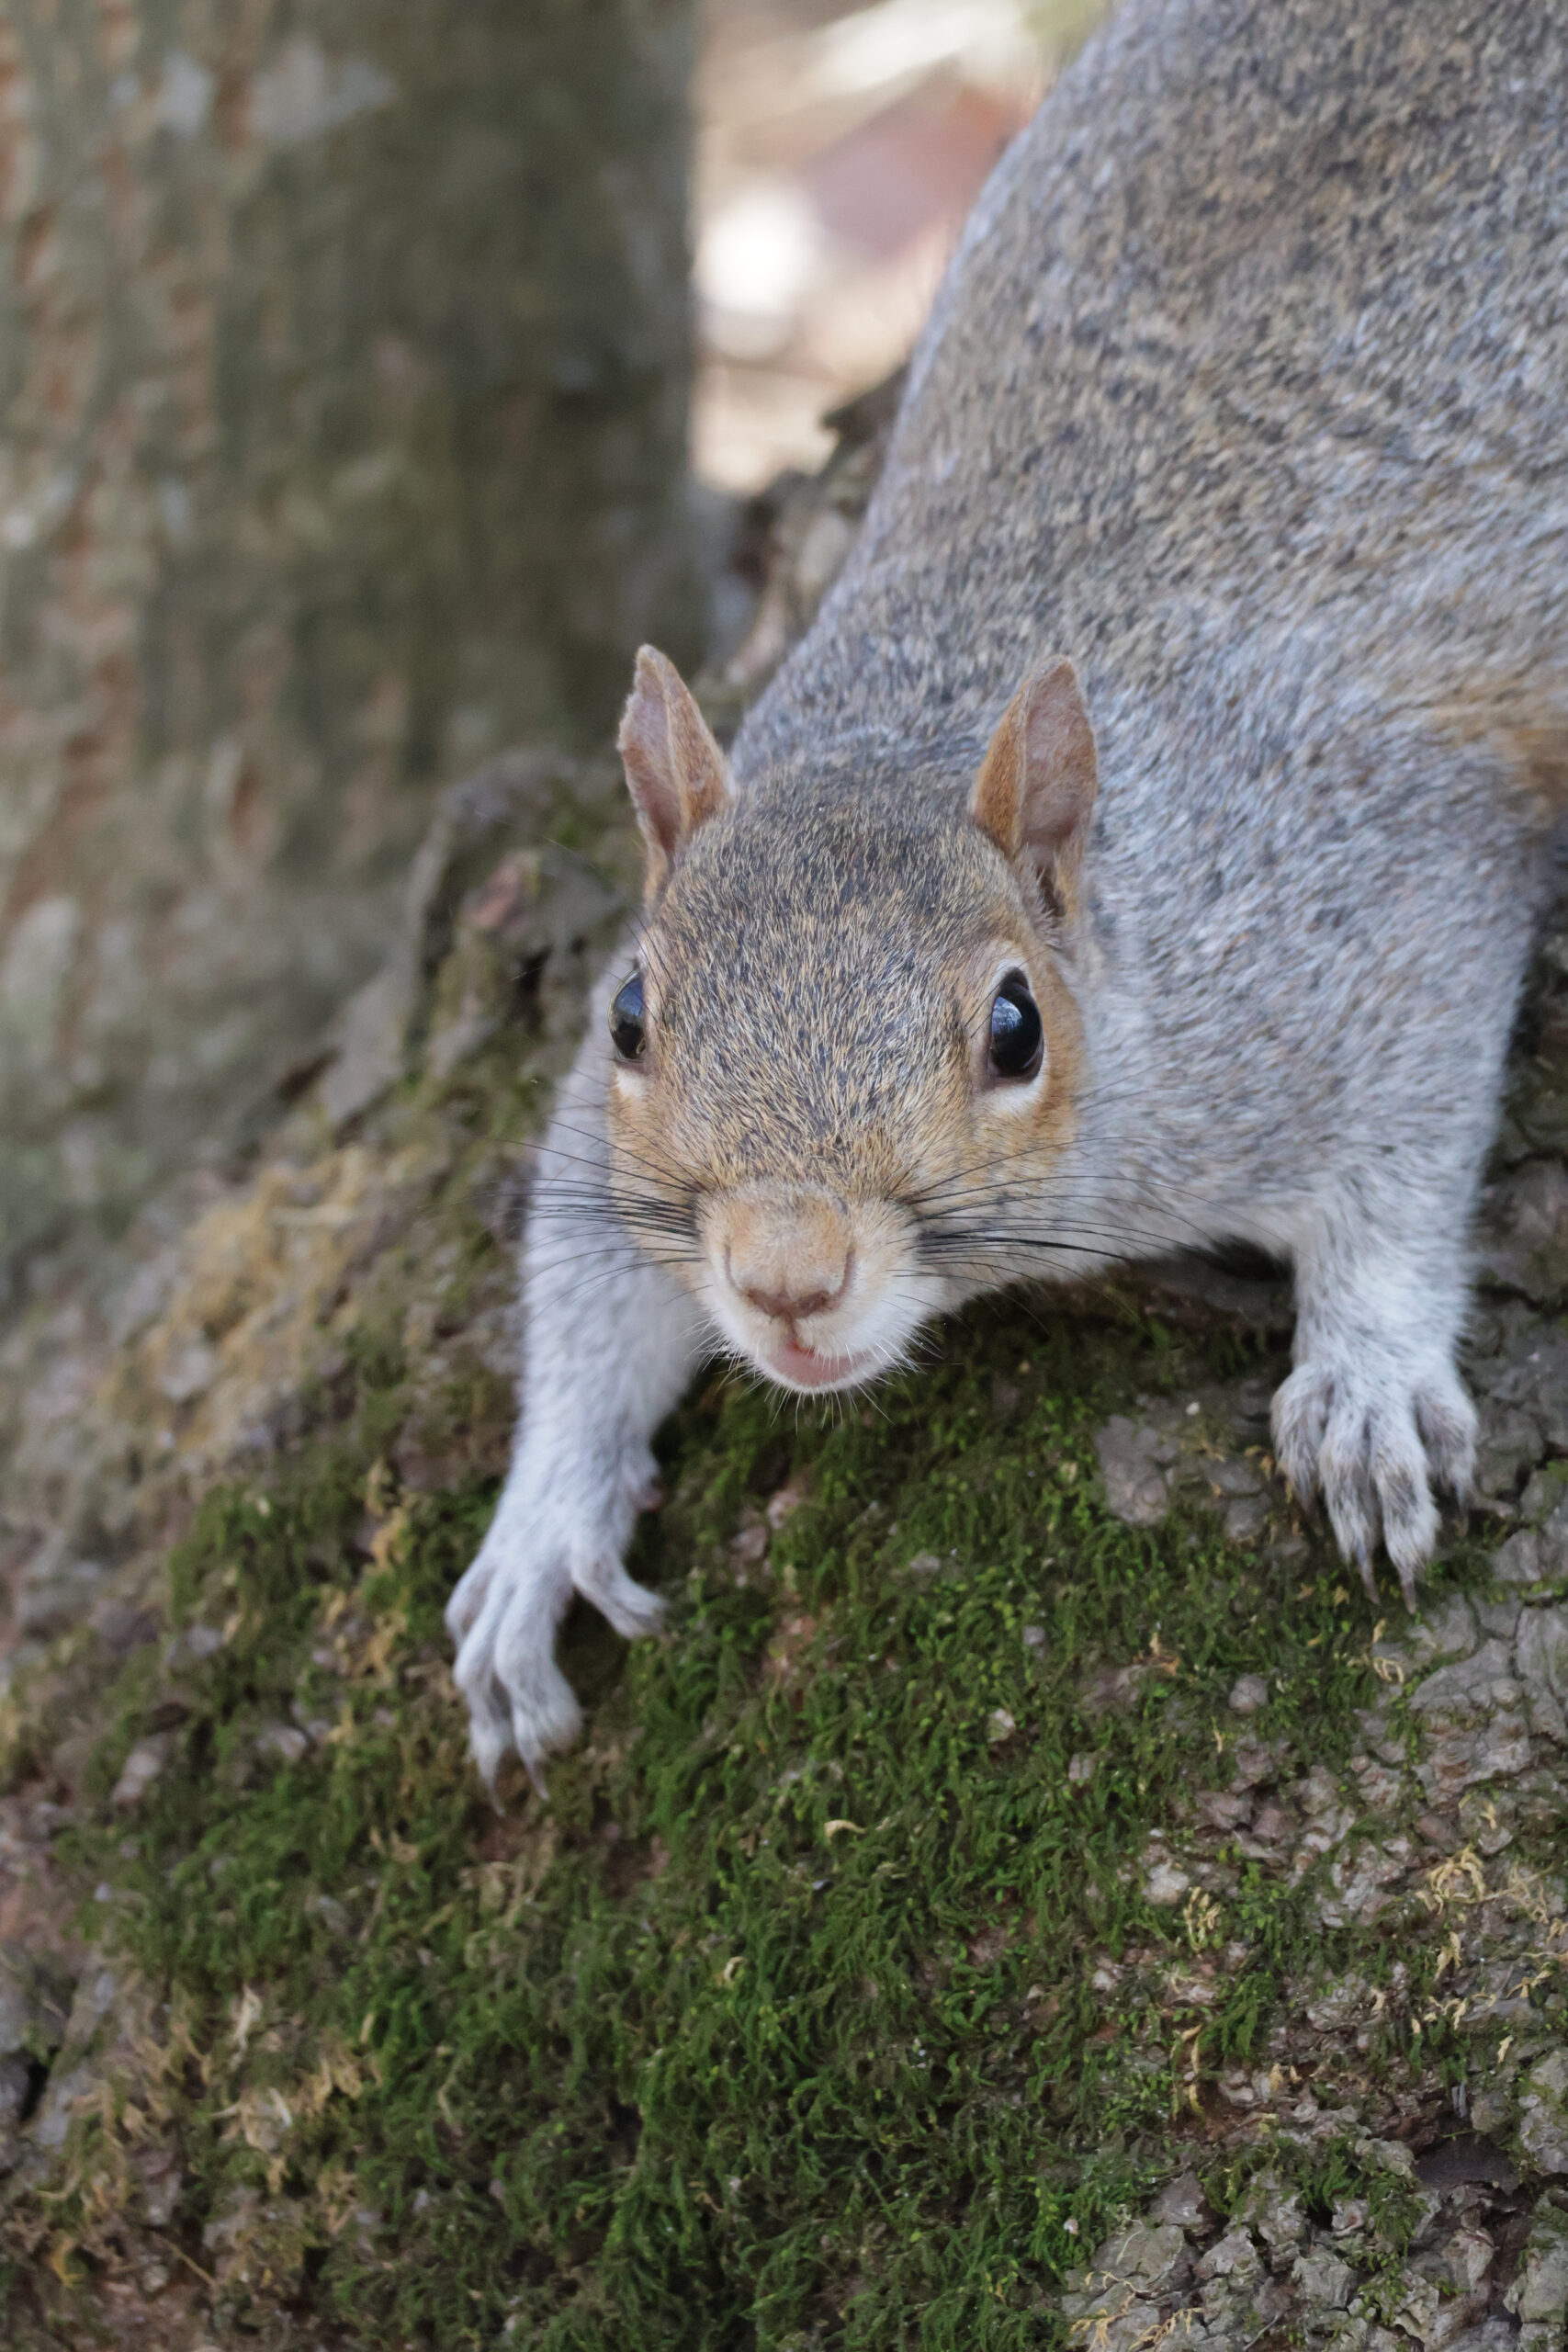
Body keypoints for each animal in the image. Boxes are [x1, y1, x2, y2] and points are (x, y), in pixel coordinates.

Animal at [448, 0, 1568, 1789]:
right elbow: (588, 1276)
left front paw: (1365, 1376)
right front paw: (541, 1521)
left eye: (1014, 1030)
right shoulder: (607, 1150)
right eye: (627, 1015)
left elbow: (1400, 1159)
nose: (786, 1280)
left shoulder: (1376, 905)